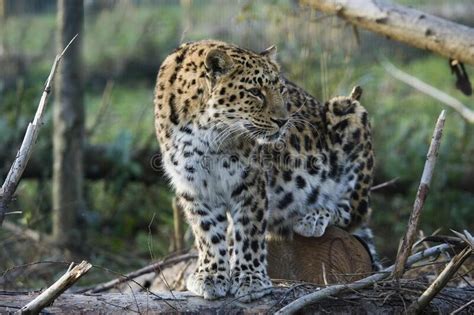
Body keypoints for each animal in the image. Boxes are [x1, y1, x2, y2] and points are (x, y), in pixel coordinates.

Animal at [154, 40, 376, 304]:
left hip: (347, 111)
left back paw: (313, 216)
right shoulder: (194, 186)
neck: (206, 134)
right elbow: (208, 233)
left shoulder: (250, 181)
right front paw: (211, 276)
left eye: (281, 90)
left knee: (353, 212)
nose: (284, 121)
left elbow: (249, 231)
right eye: (255, 92)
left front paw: (251, 281)